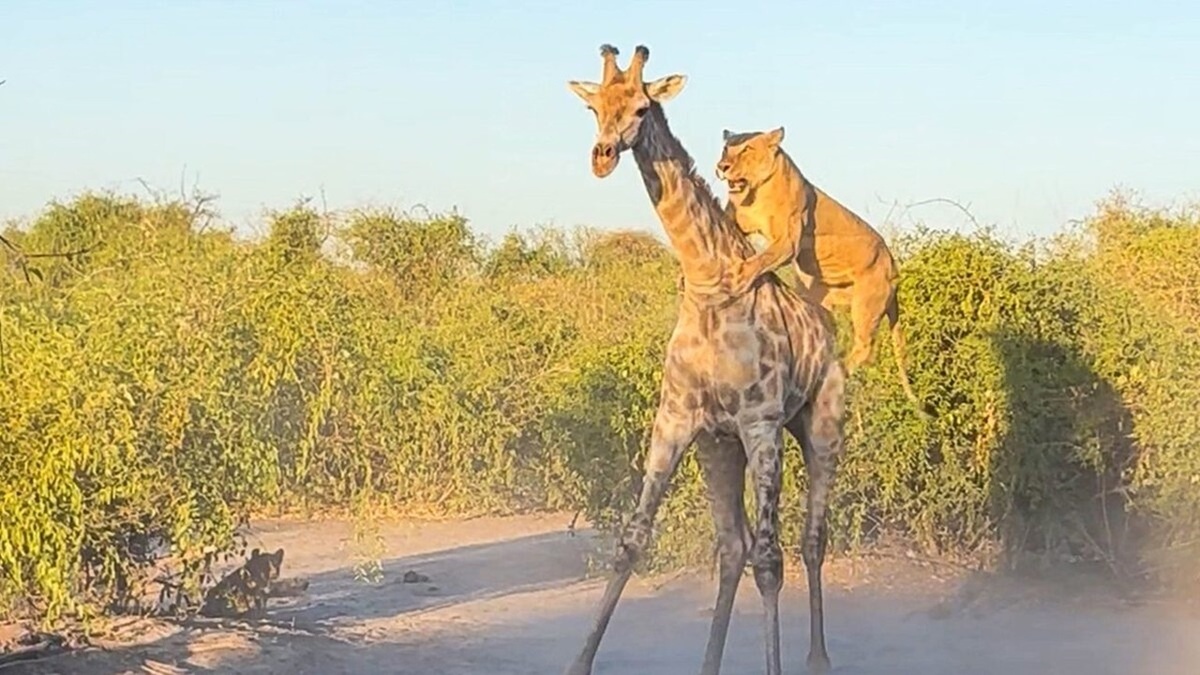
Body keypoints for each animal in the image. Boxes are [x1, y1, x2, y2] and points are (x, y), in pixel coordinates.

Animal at [566, 44, 849, 667]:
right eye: (594, 107)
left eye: (642, 107)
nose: (602, 156)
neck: (710, 284)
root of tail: (829, 330)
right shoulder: (677, 419)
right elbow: (632, 540)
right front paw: (578, 660)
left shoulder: (761, 423)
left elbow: (772, 562)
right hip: (718, 448)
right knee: (732, 545)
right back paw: (710, 662)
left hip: (820, 428)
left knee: (810, 540)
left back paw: (818, 658)